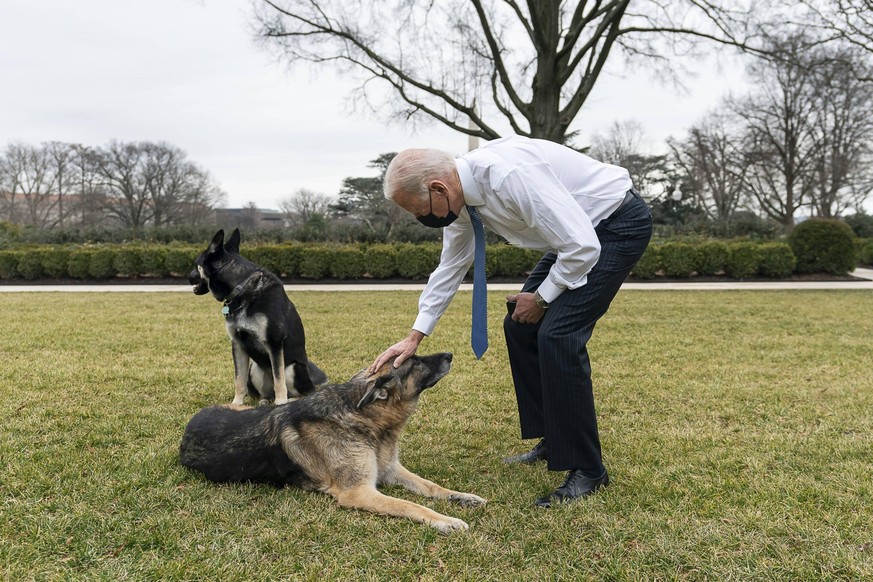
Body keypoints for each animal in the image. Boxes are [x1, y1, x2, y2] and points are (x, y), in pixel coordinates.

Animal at [178, 354, 488, 536]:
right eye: (415, 362)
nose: (449, 355)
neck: (362, 416)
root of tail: (188, 428)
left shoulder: (390, 470)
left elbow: (432, 487)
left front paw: (462, 497)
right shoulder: (358, 492)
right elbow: (410, 505)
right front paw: (445, 520)